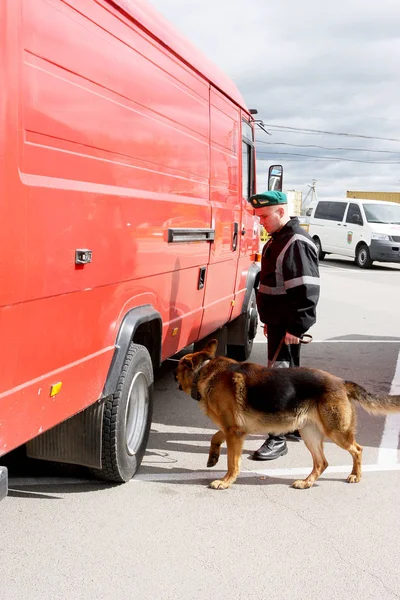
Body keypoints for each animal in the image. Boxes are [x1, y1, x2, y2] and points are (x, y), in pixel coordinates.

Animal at [173, 340, 400, 490]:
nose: (173, 371)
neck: (205, 371)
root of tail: (342, 382)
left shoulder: (234, 432)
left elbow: (232, 462)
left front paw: (226, 481)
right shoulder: (233, 430)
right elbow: (215, 436)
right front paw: (212, 457)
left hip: (336, 432)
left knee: (358, 450)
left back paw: (355, 475)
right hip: (310, 434)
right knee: (322, 462)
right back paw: (306, 482)